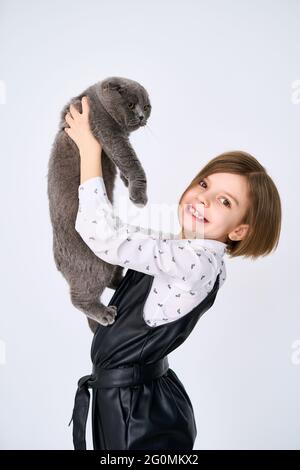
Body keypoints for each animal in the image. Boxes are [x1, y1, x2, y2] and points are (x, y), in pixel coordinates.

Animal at [47, 76, 151, 334]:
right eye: (131, 105)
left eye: (147, 107)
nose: (142, 117)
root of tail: (59, 264)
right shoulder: (107, 129)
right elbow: (129, 160)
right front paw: (139, 196)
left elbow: (124, 165)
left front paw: (129, 186)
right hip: (95, 264)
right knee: (79, 298)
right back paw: (104, 313)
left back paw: (121, 281)